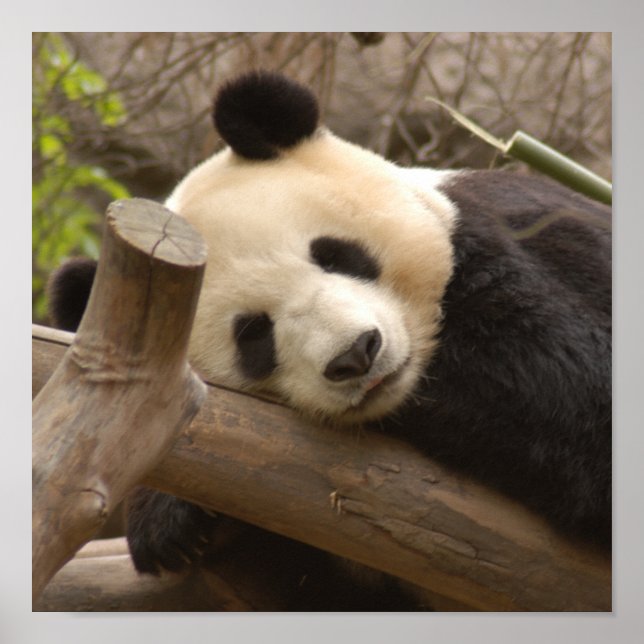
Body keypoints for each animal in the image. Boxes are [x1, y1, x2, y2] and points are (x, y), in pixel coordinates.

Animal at [48, 70, 611, 608]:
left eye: (335, 254)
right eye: (254, 334)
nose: (357, 354)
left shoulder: (514, 245)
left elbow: (572, 390)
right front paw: (170, 524)